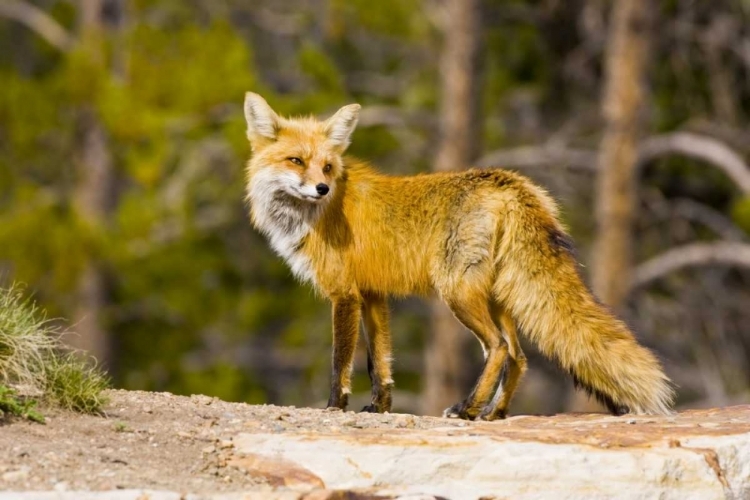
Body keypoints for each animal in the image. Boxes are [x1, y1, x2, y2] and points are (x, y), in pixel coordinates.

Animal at [244, 92, 680, 420]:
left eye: (328, 166)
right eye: (296, 161)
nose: (321, 188)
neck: (312, 216)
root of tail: (511, 184)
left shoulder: (345, 294)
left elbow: (341, 363)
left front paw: (335, 407)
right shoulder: (372, 294)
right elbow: (379, 363)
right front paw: (379, 408)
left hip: (457, 293)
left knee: (499, 349)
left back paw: (468, 409)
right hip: (498, 297)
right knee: (519, 356)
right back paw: (494, 413)